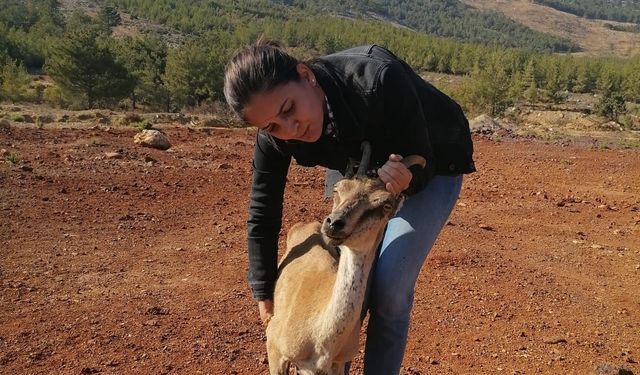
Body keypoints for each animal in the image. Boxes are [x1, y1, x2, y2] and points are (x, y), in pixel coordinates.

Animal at [264, 142, 424, 374]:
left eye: (385, 205)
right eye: (338, 189)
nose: (334, 223)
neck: (320, 338)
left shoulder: (336, 365)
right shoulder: (274, 349)